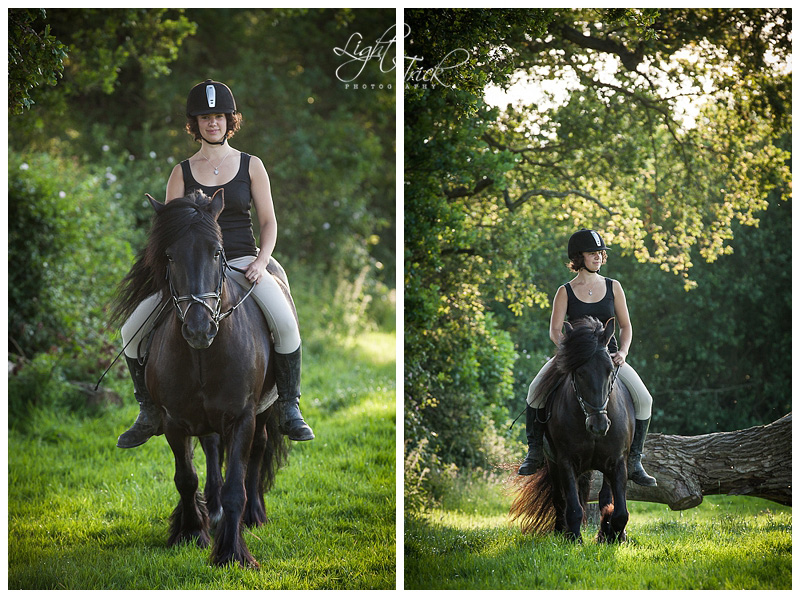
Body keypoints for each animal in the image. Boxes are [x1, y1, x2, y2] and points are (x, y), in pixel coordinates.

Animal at [112, 189, 289, 568]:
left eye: (217, 252)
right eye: (169, 255)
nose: (199, 329)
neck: (203, 355)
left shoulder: (242, 417)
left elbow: (236, 484)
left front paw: (232, 552)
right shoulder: (174, 421)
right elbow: (186, 479)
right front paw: (191, 532)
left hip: (265, 410)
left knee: (259, 449)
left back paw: (254, 515)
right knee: (209, 447)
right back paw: (215, 509)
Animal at [510, 316, 635, 544]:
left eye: (609, 369)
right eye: (580, 372)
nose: (599, 426)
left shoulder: (618, 461)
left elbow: (621, 511)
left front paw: (611, 534)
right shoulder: (565, 461)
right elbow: (573, 506)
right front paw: (574, 539)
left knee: (605, 497)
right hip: (552, 464)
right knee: (559, 500)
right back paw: (561, 531)